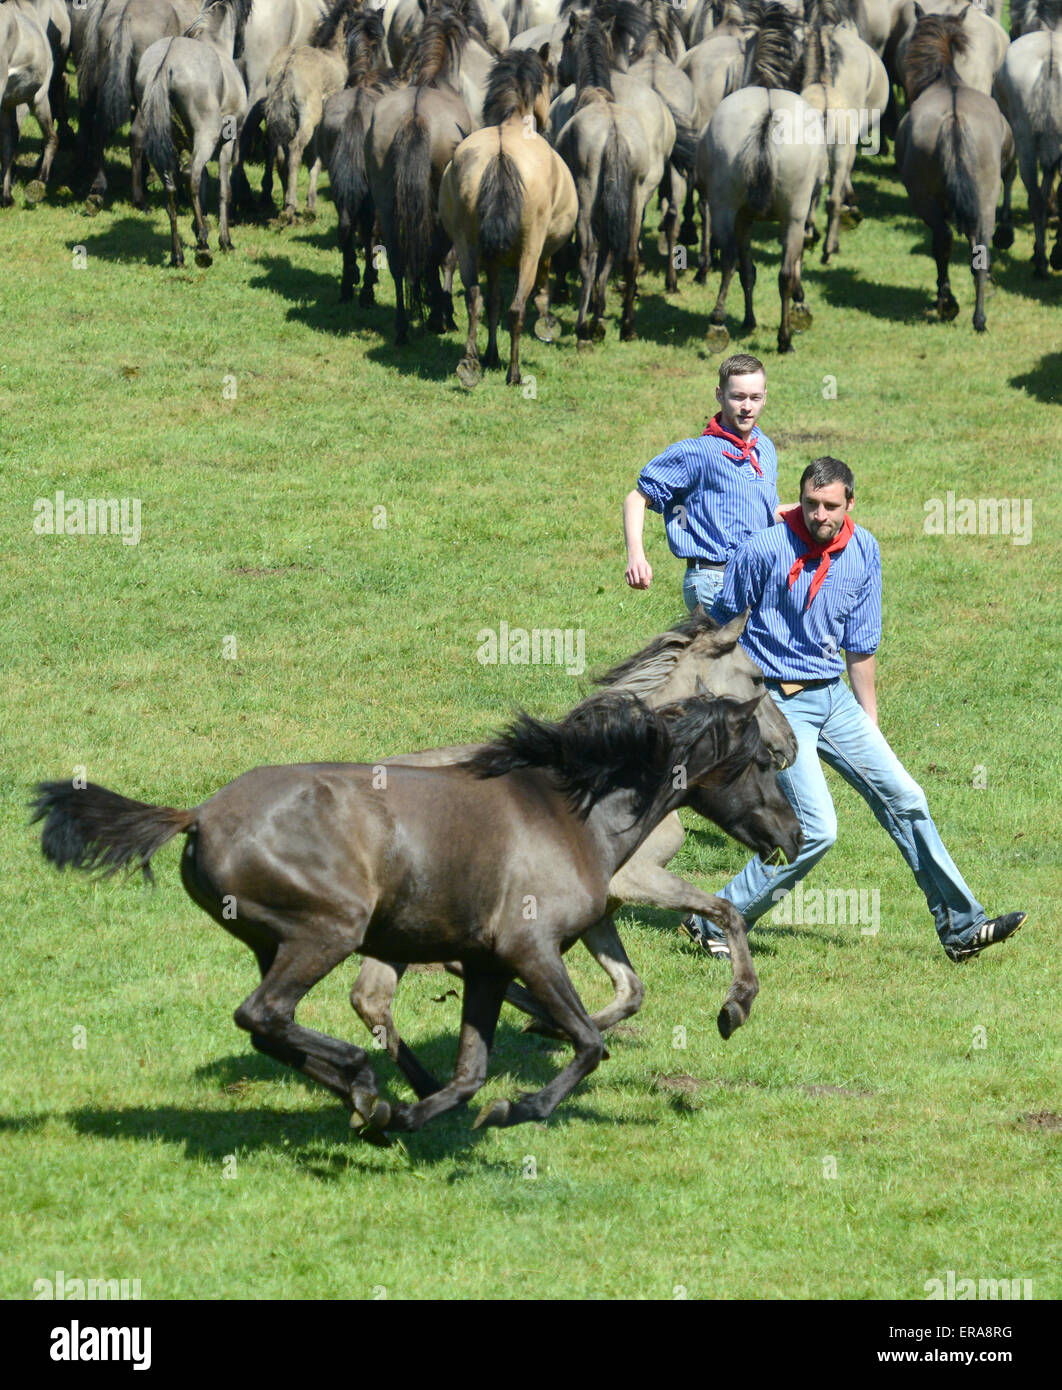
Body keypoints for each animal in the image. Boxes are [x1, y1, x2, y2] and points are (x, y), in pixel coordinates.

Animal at [436, 48, 575, 386]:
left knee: (475, 300)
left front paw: (490, 354)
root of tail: (500, 153)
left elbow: (492, 303)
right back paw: (514, 373)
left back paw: (471, 363)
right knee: (516, 308)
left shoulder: (492, 260)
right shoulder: (541, 255)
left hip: (468, 246)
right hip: (529, 251)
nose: (547, 121)